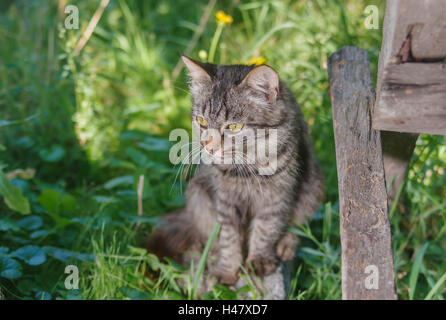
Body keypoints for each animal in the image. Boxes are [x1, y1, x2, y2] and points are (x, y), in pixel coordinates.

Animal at [146, 56, 324, 286]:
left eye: (233, 127)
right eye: (202, 121)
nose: (208, 147)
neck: (248, 168)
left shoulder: (277, 197)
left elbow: (265, 231)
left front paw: (258, 261)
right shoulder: (225, 200)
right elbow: (228, 238)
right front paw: (227, 270)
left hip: (314, 189)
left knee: (297, 226)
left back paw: (286, 245)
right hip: (196, 194)